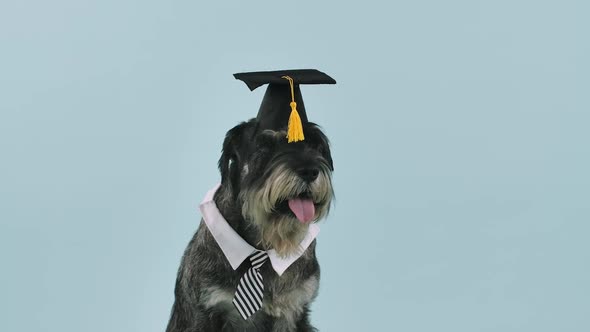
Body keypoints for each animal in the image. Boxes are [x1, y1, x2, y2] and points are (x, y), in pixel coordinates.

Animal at [165, 68, 338, 330]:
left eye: (315, 146)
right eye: (266, 146)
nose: (309, 171)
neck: (263, 246)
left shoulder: (294, 309)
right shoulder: (205, 310)